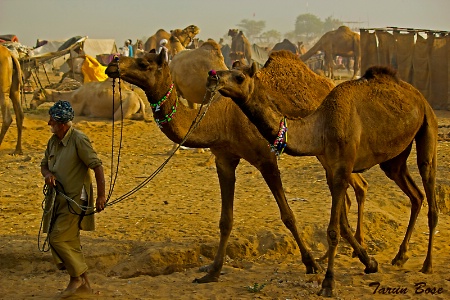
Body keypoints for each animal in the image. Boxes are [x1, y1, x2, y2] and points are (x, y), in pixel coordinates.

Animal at [104, 48, 370, 284]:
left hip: (331, 148)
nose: (112, 64)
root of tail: (328, 84)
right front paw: (212, 272)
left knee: (352, 186)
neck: (222, 119)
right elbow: (225, 220)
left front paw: (310, 263)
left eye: (143, 63)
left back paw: (357, 252)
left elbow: (288, 215)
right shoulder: (224, 159)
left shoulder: (266, 158)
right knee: (348, 189)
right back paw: (346, 252)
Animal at [207, 64, 436, 296]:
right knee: (416, 195)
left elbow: (334, 230)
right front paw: (369, 263)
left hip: (428, 127)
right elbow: (342, 224)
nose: (213, 76)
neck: (321, 128)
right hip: (394, 160)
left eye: (239, 77)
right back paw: (400, 256)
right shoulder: (331, 170)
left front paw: (328, 282)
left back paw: (427, 265)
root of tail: (420, 97)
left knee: (429, 189)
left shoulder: (343, 168)